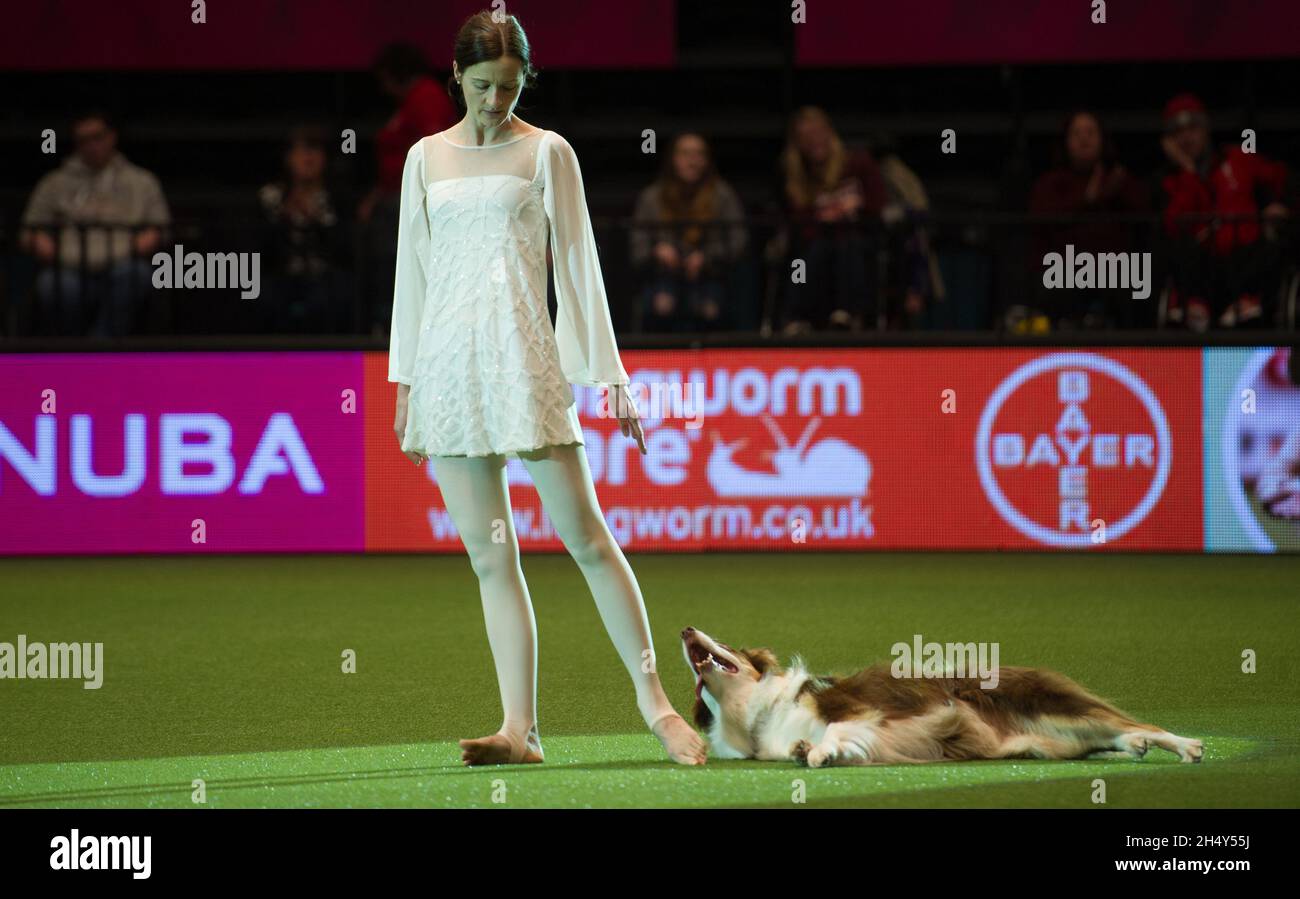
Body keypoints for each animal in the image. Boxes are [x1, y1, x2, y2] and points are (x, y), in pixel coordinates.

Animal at [686, 626, 1201, 763]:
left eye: (726, 642)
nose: (685, 630)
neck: (757, 715)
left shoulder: (861, 711)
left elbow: (833, 730)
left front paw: (820, 751)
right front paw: (809, 750)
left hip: (1061, 707)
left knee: (1133, 722)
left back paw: (1186, 745)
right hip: (1046, 742)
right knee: (1103, 740)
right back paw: (1133, 746)